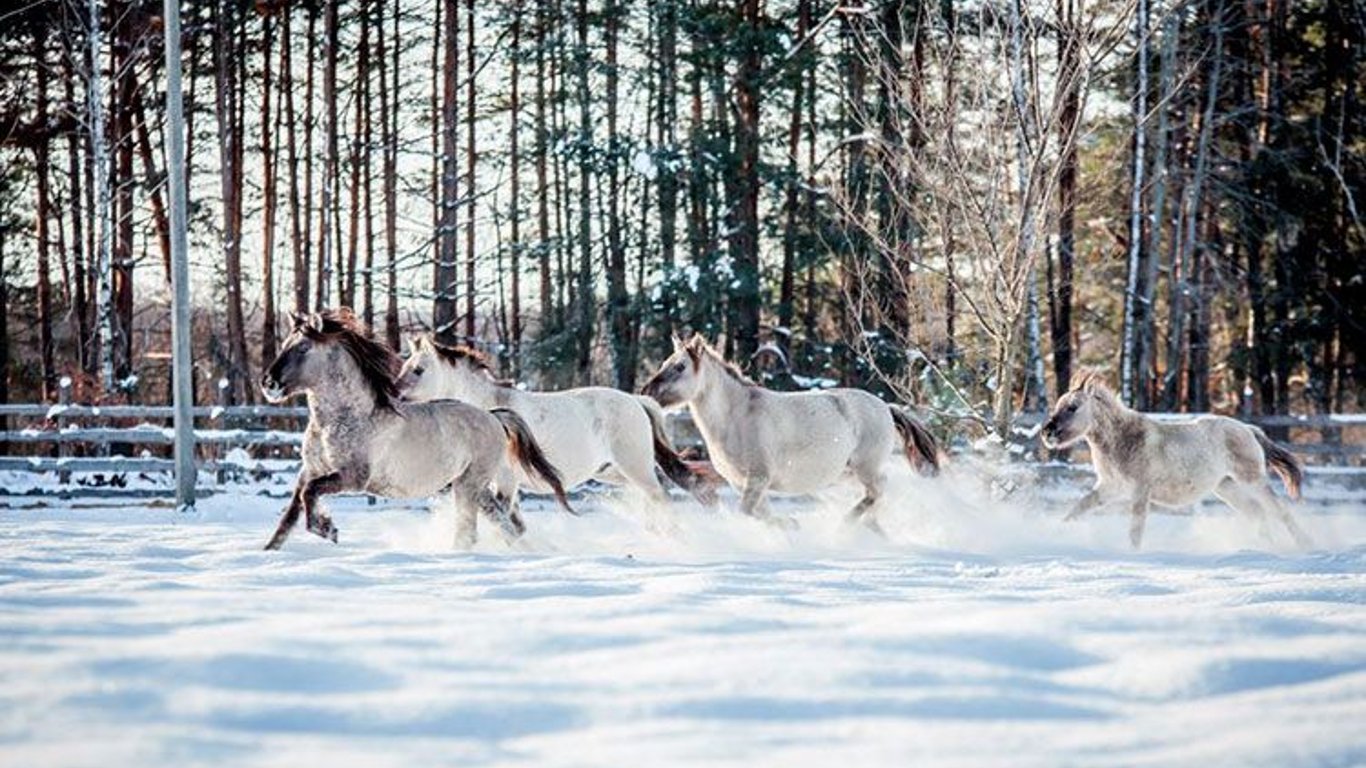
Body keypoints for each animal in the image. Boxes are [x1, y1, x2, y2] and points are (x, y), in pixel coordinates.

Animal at [258, 308, 573, 549]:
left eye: (302, 348)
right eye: (285, 344)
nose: (268, 384)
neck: (344, 420)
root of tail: (494, 418)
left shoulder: (354, 477)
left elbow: (310, 495)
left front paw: (327, 529)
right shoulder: (309, 471)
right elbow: (290, 516)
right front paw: (270, 552)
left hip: (469, 486)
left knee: (471, 531)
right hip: (477, 488)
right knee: (504, 525)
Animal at [393, 333, 715, 508]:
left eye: (418, 370)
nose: (393, 393)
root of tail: (637, 401)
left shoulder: (505, 481)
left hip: (636, 467)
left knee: (660, 496)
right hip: (613, 472)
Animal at [639, 334, 939, 532]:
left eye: (680, 367)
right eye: (664, 363)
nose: (646, 390)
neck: (738, 416)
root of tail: (886, 407)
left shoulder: (758, 478)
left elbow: (747, 512)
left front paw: (790, 524)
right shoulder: (744, 484)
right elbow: (761, 513)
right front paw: (790, 525)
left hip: (867, 467)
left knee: (878, 490)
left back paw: (848, 521)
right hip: (848, 474)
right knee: (876, 495)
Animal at [1043, 371, 1311, 546]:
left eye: (1073, 407)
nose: (1047, 432)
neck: (1125, 439)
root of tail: (1248, 429)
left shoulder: (1140, 491)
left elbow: (1135, 530)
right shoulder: (1110, 487)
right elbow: (1078, 508)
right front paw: (1056, 533)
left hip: (1252, 480)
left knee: (1280, 511)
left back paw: (1305, 546)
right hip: (1226, 487)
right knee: (1257, 513)